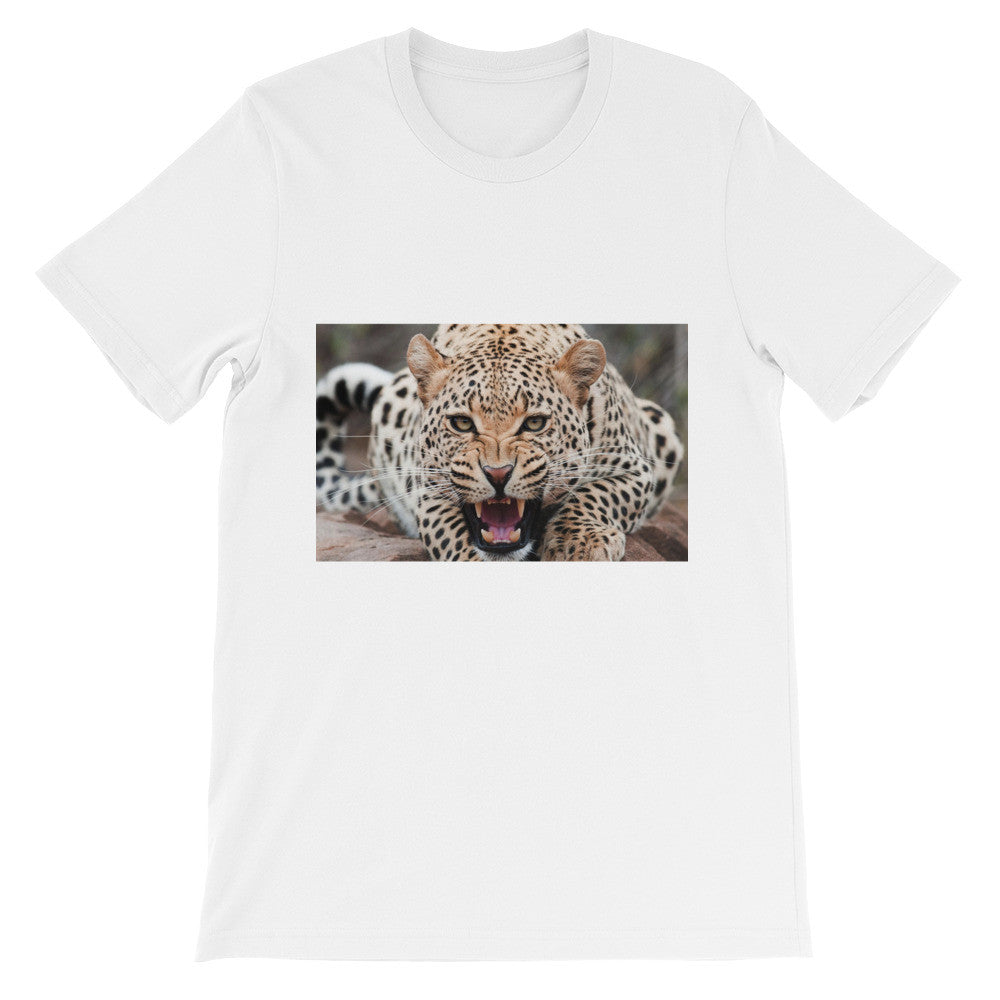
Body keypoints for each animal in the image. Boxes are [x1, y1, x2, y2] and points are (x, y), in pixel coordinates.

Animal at [316, 324, 683, 561]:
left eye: (535, 423)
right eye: (462, 423)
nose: (498, 474)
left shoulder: (634, 468)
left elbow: (596, 495)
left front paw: (578, 544)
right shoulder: (429, 493)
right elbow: (453, 540)